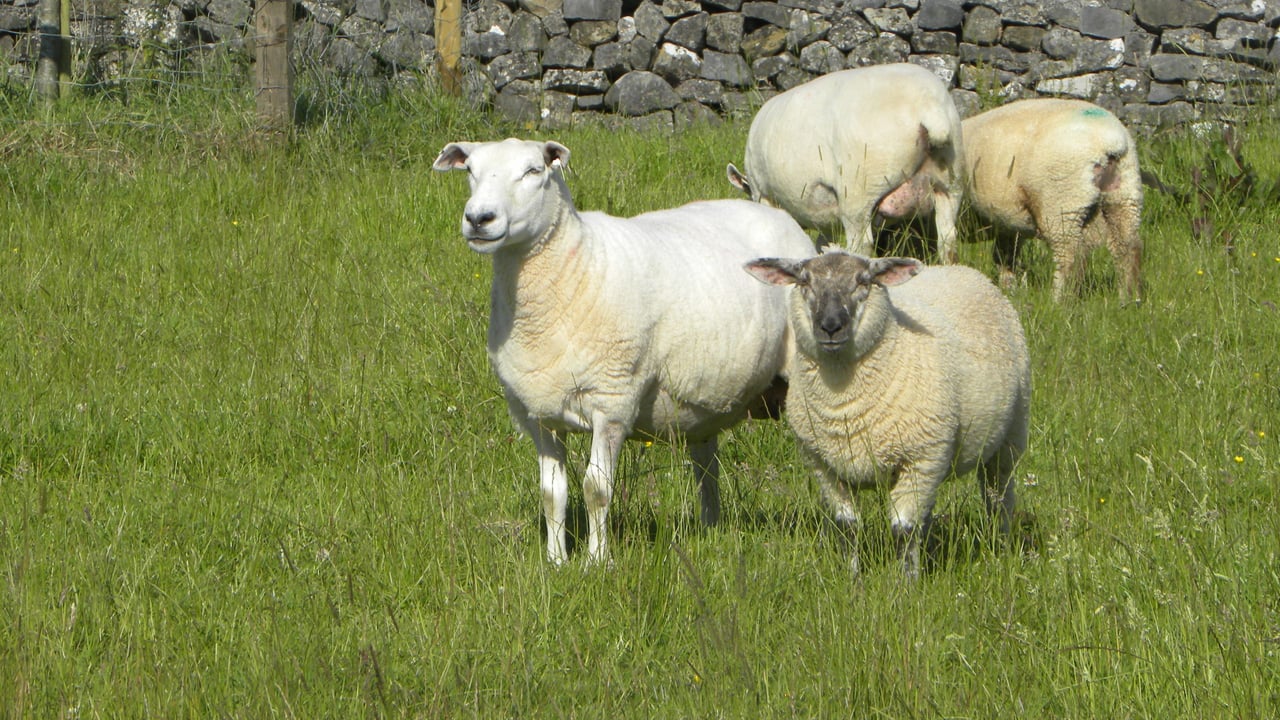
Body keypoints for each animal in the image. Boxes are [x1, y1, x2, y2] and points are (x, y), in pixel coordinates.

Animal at [434, 138, 817, 565]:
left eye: (534, 170)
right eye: (470, 170)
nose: (479, 219)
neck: (571, 271)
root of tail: (777, 215)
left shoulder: (612, 402)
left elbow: (596, 489)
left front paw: (597, 563)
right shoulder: (538, 413)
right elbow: (552, 494)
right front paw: (555, 562)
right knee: (706, 465)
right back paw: (710, 528)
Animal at [726, 63, 965, 261]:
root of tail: (928, 107)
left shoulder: (763, 193)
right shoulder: (823, 214)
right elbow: (823, 242)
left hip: (859, 192)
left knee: (862, 244)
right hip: (950, 183)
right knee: (948, 238)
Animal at [745, 251, 1030, 579]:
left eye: (864, 281)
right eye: (804, 281)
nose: (830, 326)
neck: (843, 403)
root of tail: (964, 270)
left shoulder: (919, 458)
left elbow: (903, 529)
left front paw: (906, 584)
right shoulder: (824, 466)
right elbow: (847, 527)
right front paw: (853, 580)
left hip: (1009, 434)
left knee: (999, 498)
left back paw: (1001, 547)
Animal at [962, 98, 1144, 302]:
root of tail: (1109, 141)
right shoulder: (1008, 224)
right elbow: (1005, 256)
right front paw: (1008, 289)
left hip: (1061, 201)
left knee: (1071, 255)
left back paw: (1059, 300)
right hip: (1124, 194)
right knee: (1127, 246)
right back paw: (1129, 299)